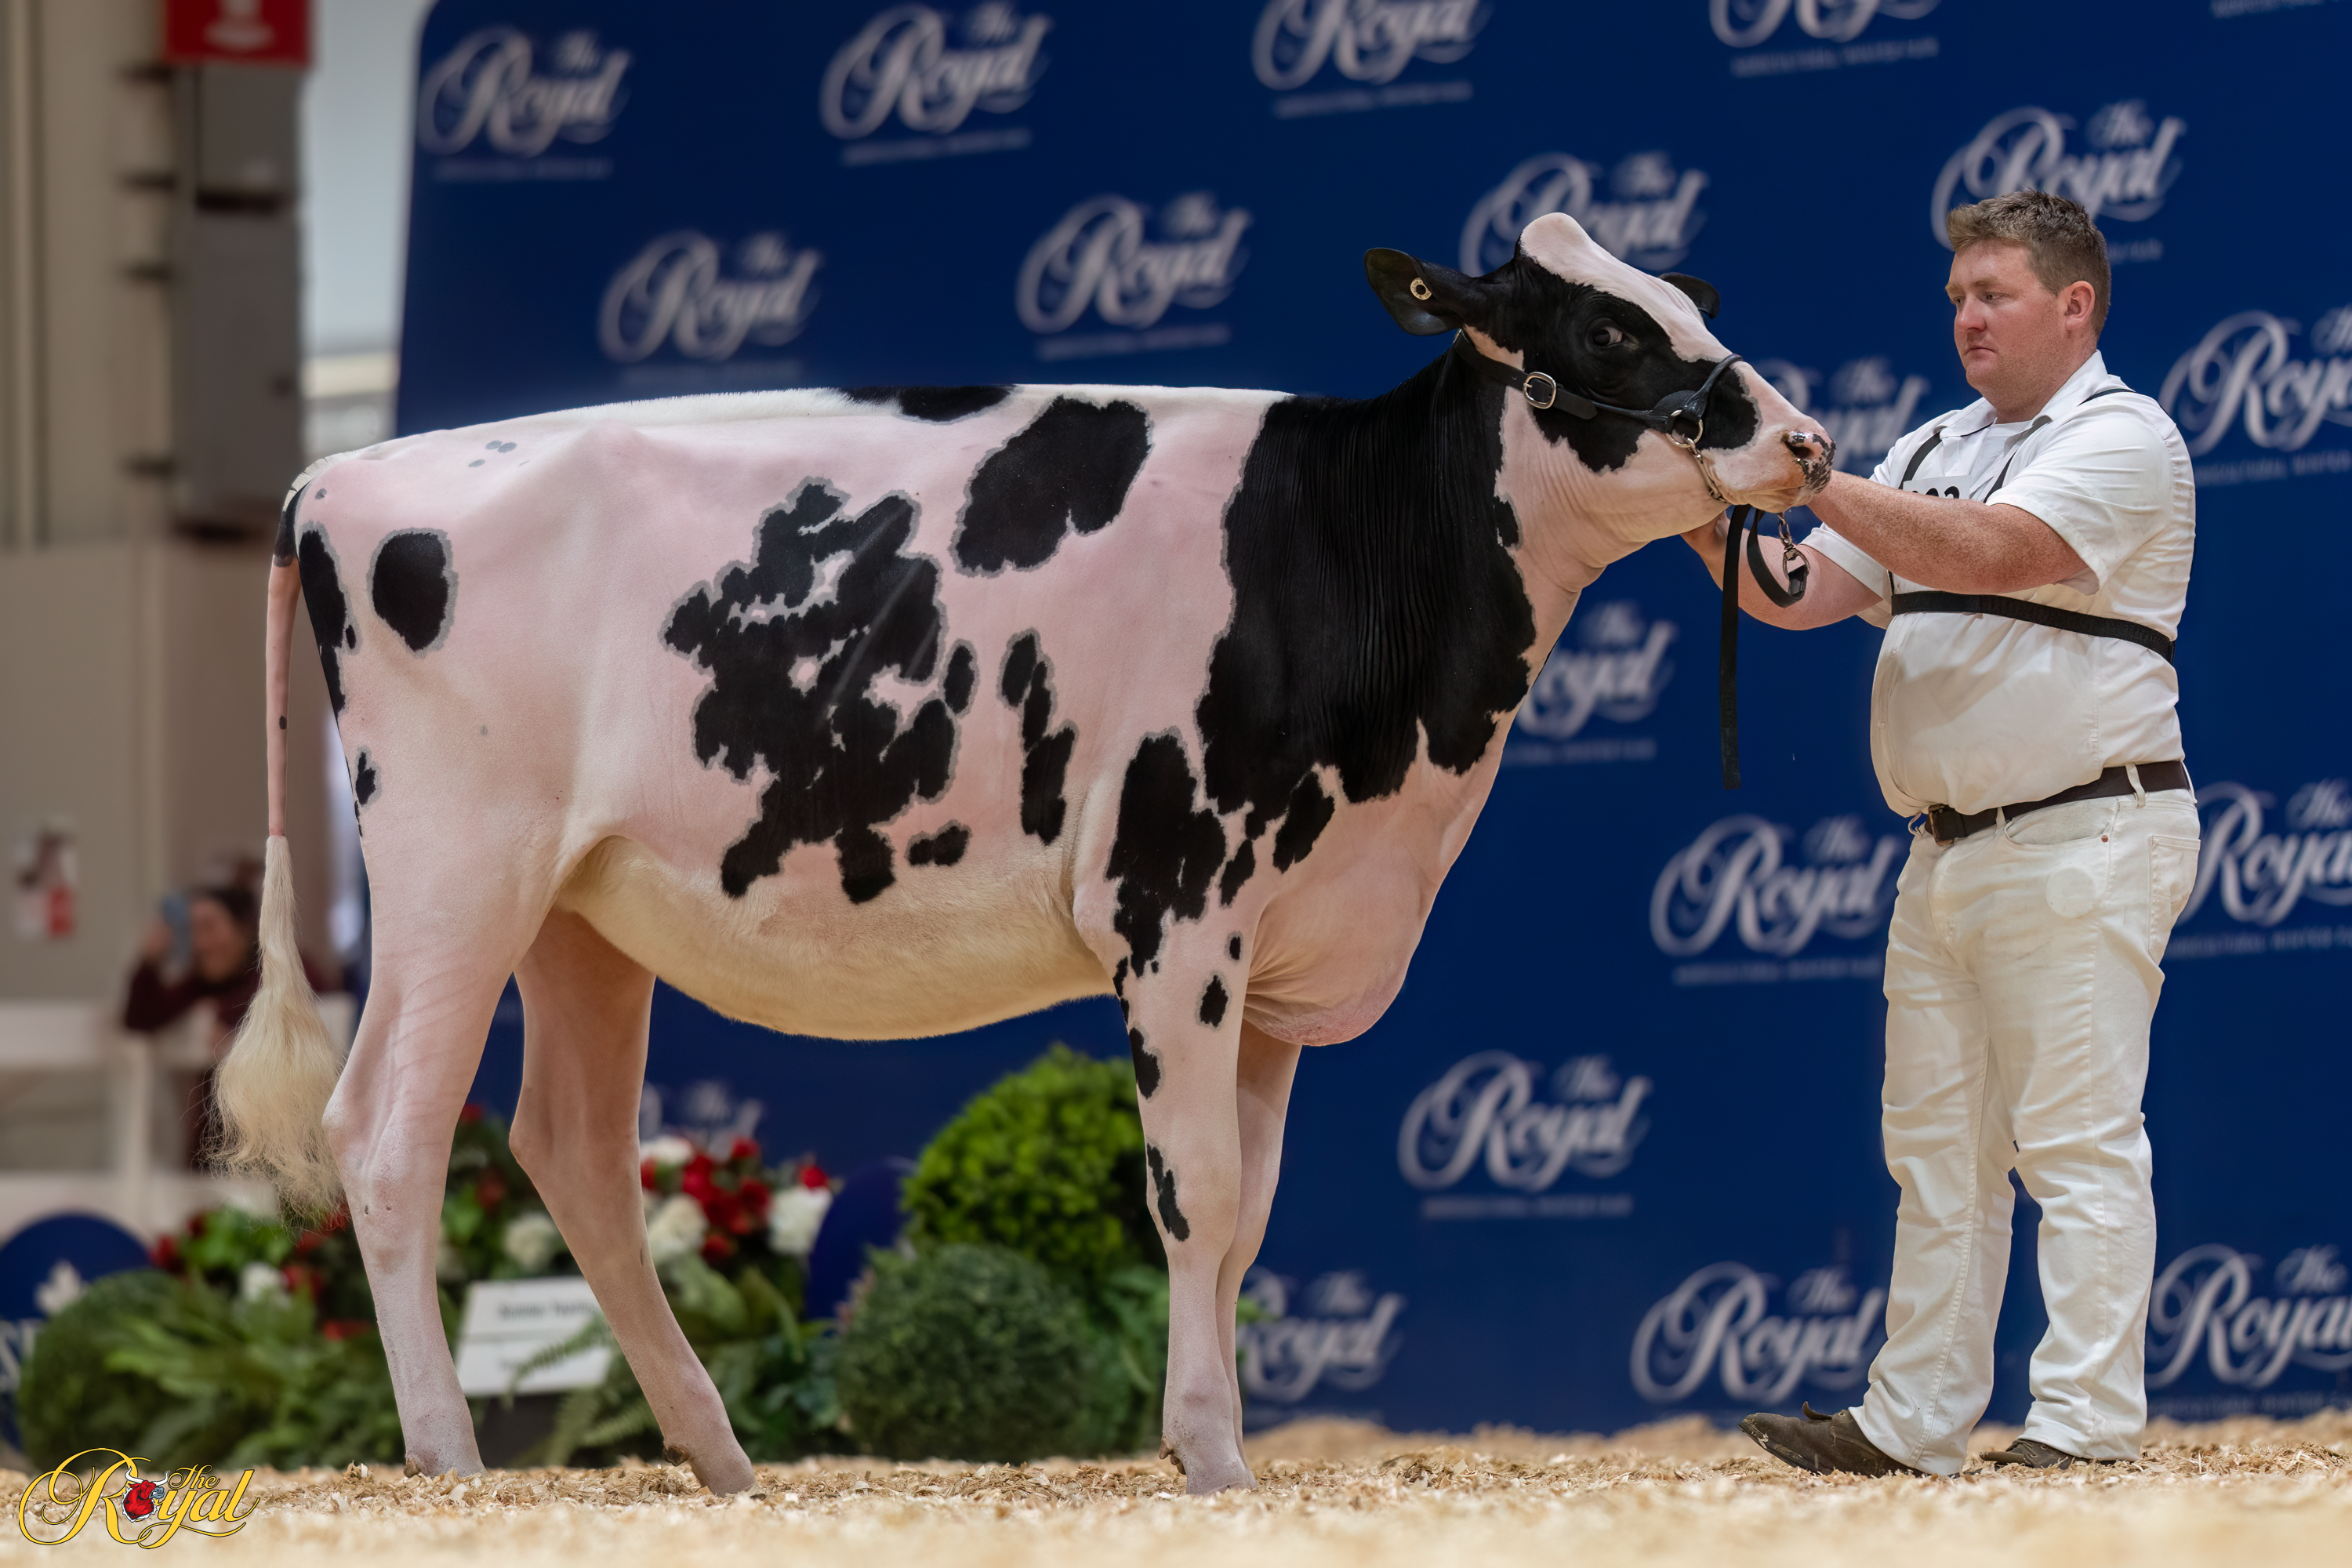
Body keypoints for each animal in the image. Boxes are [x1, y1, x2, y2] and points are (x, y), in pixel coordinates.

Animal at [220, 212, 1830, 1495]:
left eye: (1688, 300)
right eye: (1608, 326)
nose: (1808, 441)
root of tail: (339, 474)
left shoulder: (1282, 949)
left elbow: (1248, 1214)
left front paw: (1210, 1433)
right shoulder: (1176, 904)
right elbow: (1194, 1192)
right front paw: (1213, 1456)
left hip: (581, 911)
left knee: (574, 1152)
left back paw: (720, 1458)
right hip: (454, 873)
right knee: (390, 1133)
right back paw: (448, 1456)